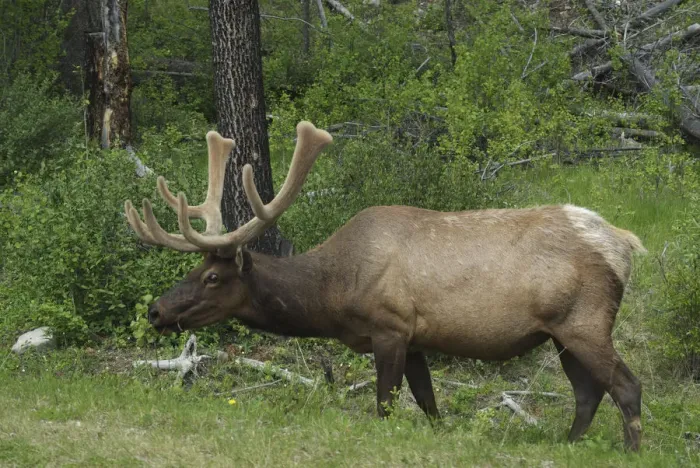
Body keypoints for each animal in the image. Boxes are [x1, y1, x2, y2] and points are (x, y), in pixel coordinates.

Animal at [124, 121, 646, 451]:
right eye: (192, 271)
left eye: (212, 277)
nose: (156, 310)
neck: (334, 295)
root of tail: (625, 243)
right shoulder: (415, 339)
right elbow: (430, 406)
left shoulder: (390, 327)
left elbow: (386, 408)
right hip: (560, 333)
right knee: (588, 393)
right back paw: (568, 445)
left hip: (585, 321)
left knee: (626, 385)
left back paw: (630, 449)